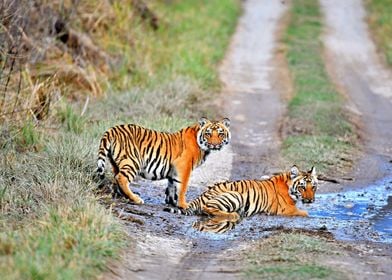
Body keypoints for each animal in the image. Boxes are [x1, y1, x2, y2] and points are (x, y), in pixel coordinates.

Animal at [97, 117, 230, 209]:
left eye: (220, 134)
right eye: (208, 134)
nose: (214, 144)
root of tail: (112, 129)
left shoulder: (174, 171)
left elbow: (172, 186)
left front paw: (172, 202)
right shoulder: (184, 168)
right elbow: (182, 188)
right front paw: (183, 205)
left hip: (116, 163)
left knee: (116, 177)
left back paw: (120, 195)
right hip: (133, 161)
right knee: (121, 178)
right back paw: (136, 199)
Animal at [167, 165, 316, 222]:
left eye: (313, 187)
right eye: (302, 187)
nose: (310, 200)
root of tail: (201, 196)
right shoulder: (287, 209)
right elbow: (305, 213)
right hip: (235, 195)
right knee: (207, 208)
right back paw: (234, 214)